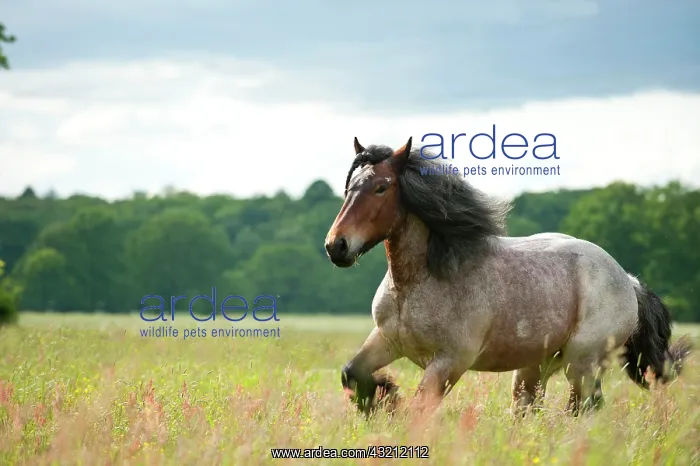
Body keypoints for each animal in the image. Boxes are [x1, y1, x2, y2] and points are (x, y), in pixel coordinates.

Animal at [324, 136, 692, 417]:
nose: (336, 246)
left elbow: (420, 409)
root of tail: (628, 281)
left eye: (382, 187)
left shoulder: (451, 361)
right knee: (530, 408)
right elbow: (352, 374)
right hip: (535, 367)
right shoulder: (388, 340)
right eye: (350, 187)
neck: (416, 282)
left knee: (582, 408)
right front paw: (384, 396)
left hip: (582, 364)